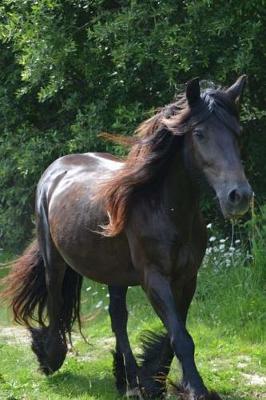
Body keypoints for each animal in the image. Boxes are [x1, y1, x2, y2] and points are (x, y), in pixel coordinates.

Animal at [1, 76, 251, 400]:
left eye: (238, 133)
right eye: (199, 133)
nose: (239, 196)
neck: (165, 209)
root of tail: (55, 169)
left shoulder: (187, 278)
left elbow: (175, 333)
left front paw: (154, 380)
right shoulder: (153, 277)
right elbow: (181, 337)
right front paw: (196, 389)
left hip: (114, 274)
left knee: (117, 318)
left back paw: (128, 380)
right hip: (54, 260)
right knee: (56, 301)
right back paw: (52, 357)